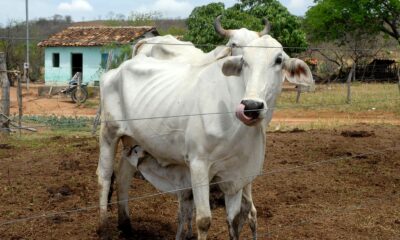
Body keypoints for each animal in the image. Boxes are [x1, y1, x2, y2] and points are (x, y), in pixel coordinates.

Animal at [96, 32, 312, 240]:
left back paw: (125, 225)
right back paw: (103, 228)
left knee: (123, 176)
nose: (251, 106)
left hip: (133, 141)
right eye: (244, 61)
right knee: (105, 177)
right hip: (109, 133)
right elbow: (203, 220)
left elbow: (234, 220)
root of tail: (116, 70)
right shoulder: (198, 164)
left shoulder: (236, 175)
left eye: (278, 60)